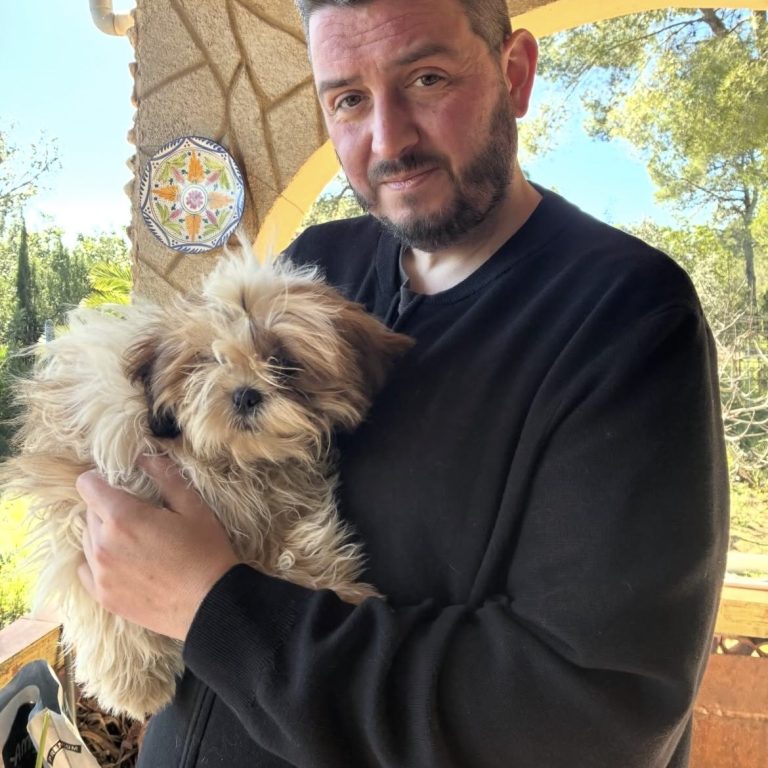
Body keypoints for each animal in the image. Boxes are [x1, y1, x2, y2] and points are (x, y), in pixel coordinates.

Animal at [0, 245, 411, 719]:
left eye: (283, 363)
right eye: (207, 361)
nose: (245, 394)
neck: (224, 461)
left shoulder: (285, 495)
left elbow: (303, 534)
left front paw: (338, 588)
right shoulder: (87, 488)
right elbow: (99, 597)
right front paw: (134, 681)